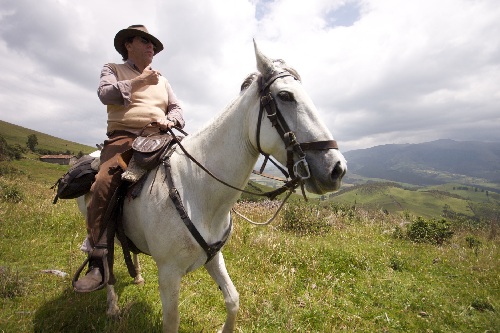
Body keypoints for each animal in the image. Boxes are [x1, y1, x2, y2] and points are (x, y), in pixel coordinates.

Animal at [78, 42, 346, 332]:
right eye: (285, 95)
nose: (337, 169)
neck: (196, 188)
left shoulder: (214, 257)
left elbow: (233, 300)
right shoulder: (169, 274)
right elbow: (172, 321)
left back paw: (136, 276)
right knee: (104, 257)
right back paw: (112, 305)